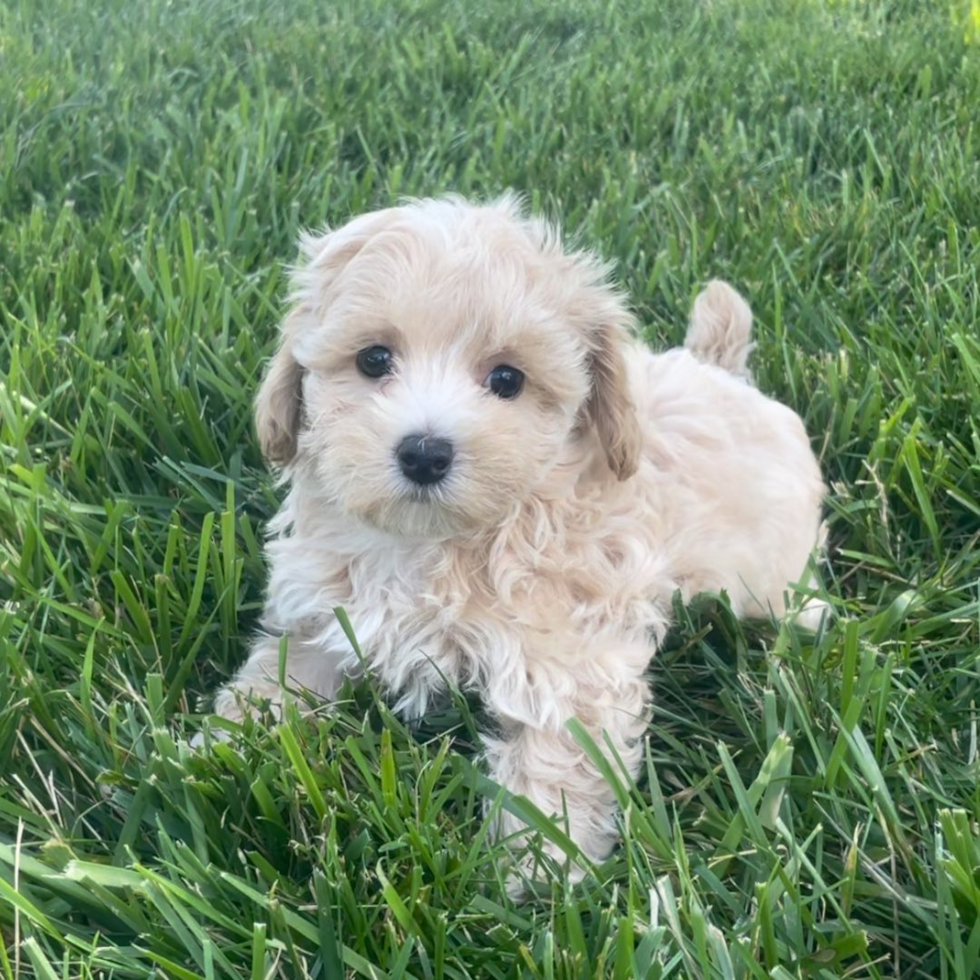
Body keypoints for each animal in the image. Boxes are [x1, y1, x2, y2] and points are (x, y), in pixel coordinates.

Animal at [209, 195, 828, 876]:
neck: (435, 544)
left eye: (508, 379)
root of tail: (723, 374)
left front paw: (537, 872)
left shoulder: (571, 663)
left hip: (770, 572)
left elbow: (555, 762)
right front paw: (221, 746)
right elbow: (282, 673)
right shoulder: (324, 611)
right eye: (373, 359)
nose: (424, 453)